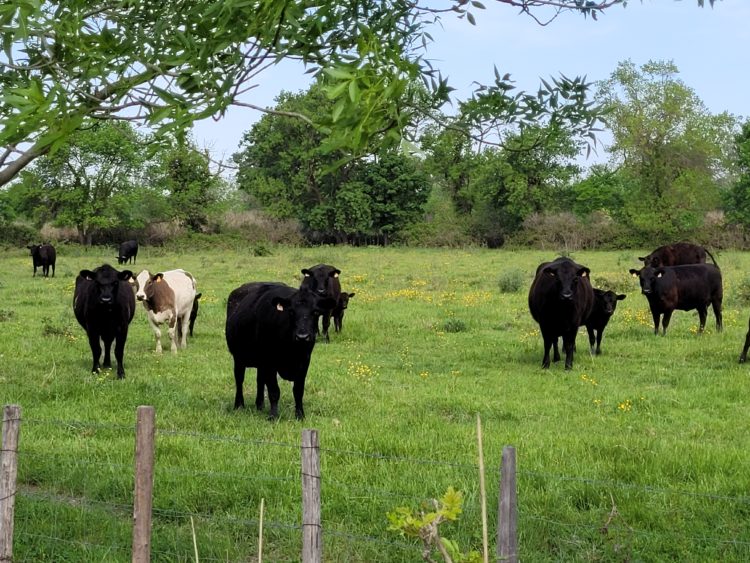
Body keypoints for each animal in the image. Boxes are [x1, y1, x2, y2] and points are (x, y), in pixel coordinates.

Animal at [222, 284, 330, 420]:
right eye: (291, 312)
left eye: (315, 312)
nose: (302, 336)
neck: (293, 351)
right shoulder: (270, 362)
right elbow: (274, 391)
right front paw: (273, 416)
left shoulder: (304, 361)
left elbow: (298, 391)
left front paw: (300, 415)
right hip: (239, 358)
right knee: (239, 379)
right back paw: (239, 405)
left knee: (259, 380)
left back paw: (260, 405)